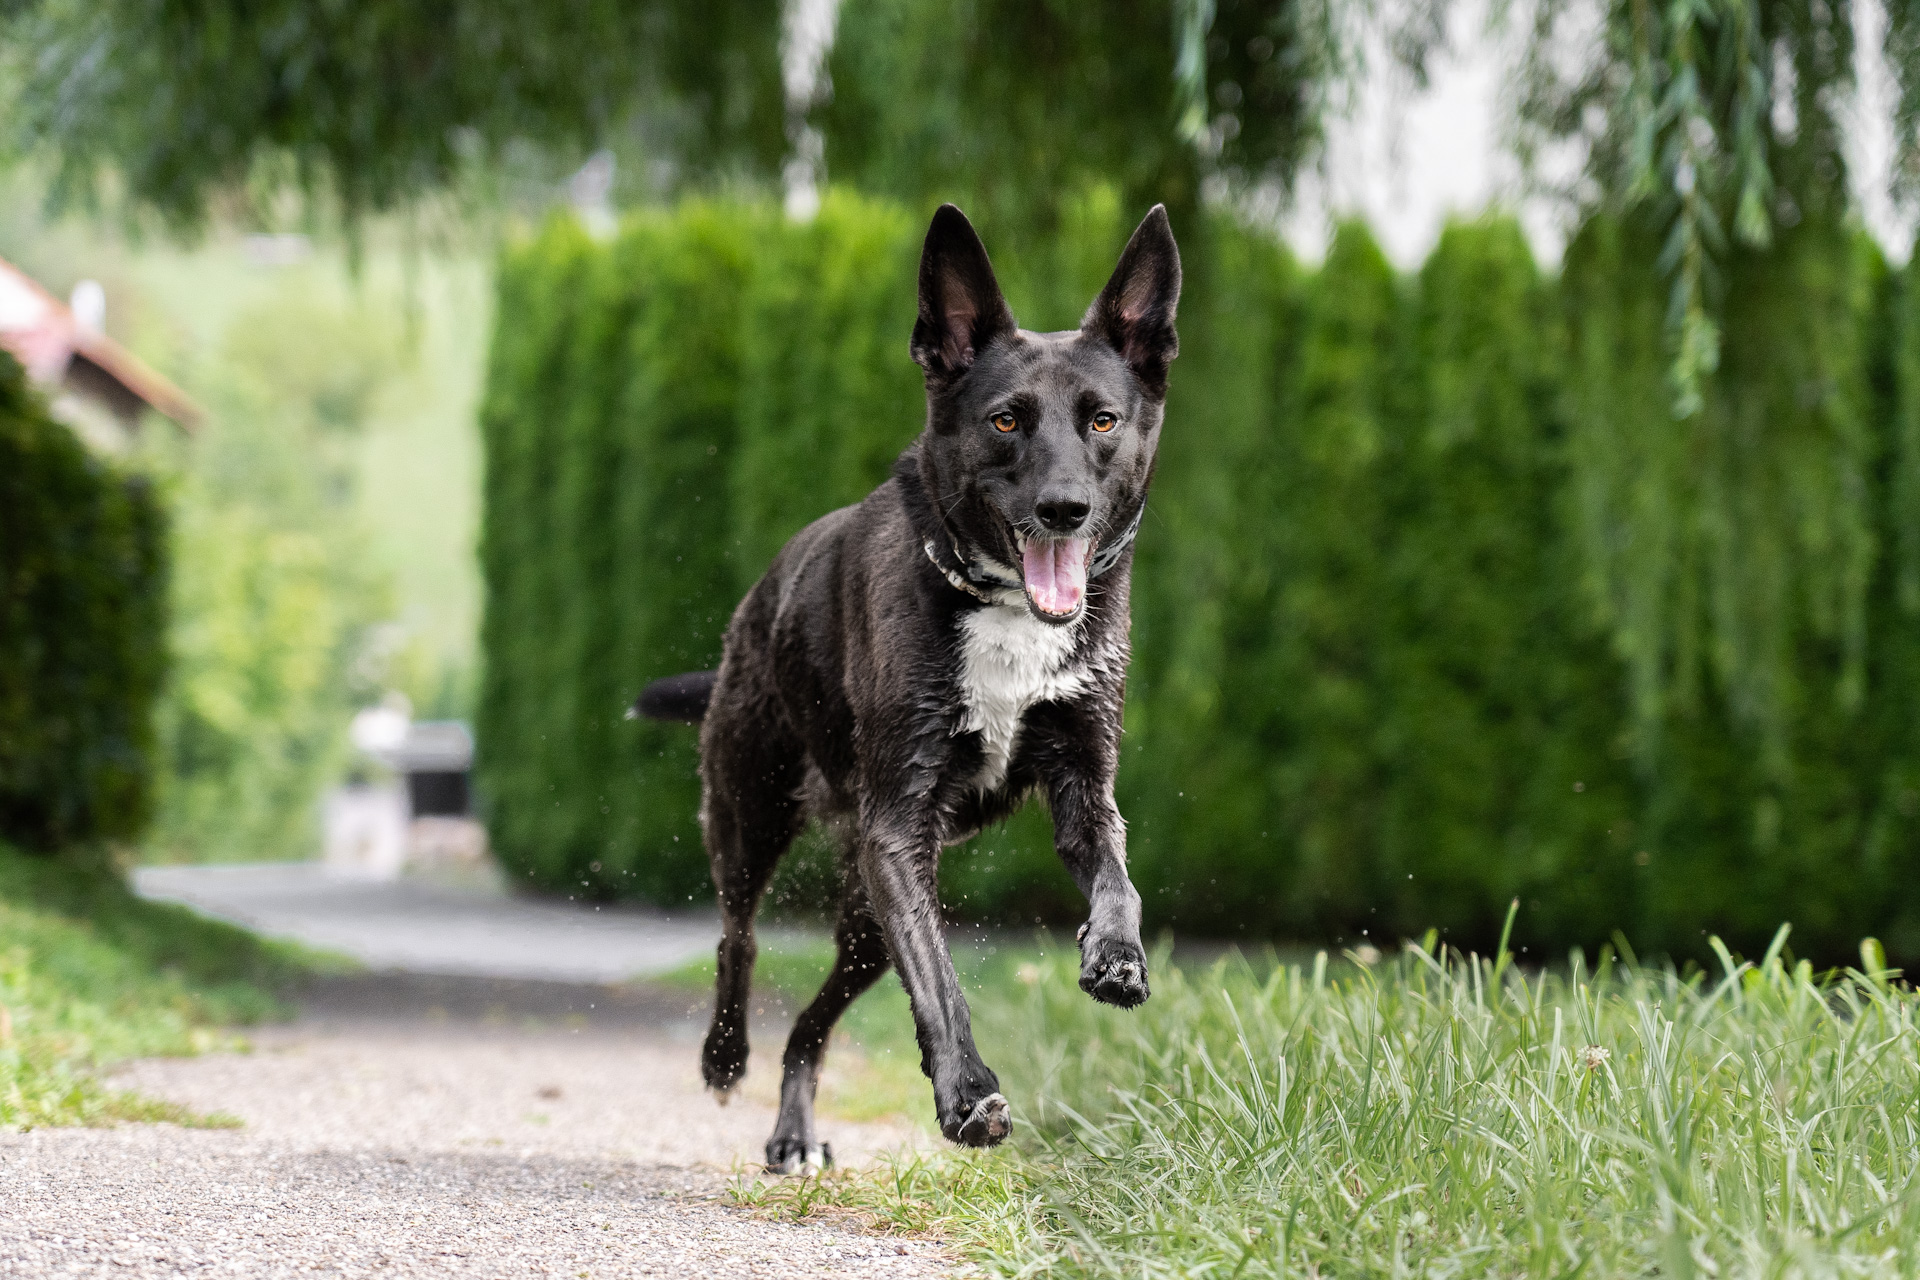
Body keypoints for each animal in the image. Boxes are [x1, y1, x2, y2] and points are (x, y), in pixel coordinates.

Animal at [637, 200, 1175, 1174]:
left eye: (1105, 421)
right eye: (1004, 423)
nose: (1065, 509)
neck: (1001, 601)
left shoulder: (1082, 787)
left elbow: (1120, 879)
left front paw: (1115, 955)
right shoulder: (898, 832)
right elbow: (942, 982)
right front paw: (968, 1098)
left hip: (863, 922)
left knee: (811, 1023)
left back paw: (794, 1130)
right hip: (756, 814)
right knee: (739, 936)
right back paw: (724, 1055)